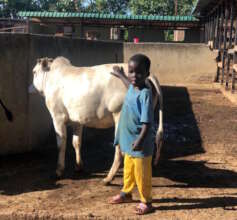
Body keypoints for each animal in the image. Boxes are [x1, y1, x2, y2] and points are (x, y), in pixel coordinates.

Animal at [29, 57, 163, 184]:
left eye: (34, 72)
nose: (29, 88)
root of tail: (149, 76)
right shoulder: (77, 120)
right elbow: (76, 142)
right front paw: (79, 166)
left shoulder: (57, 117)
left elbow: (61, 144)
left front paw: (59, 171)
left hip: (120, 116)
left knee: (120, 149)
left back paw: (109, 178)